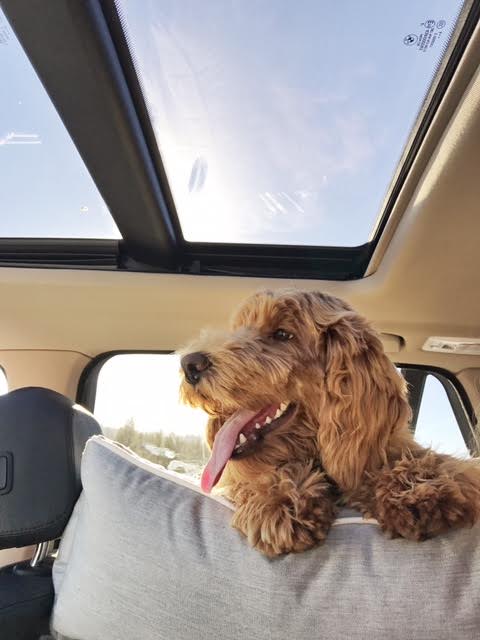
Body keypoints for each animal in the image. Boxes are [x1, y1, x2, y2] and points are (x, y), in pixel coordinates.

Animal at [180, 289, 480, 557]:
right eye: (240, 328)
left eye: (282, 334)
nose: (189, 364)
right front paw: (279, 499)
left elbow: (436, 462)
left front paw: (418, 486)